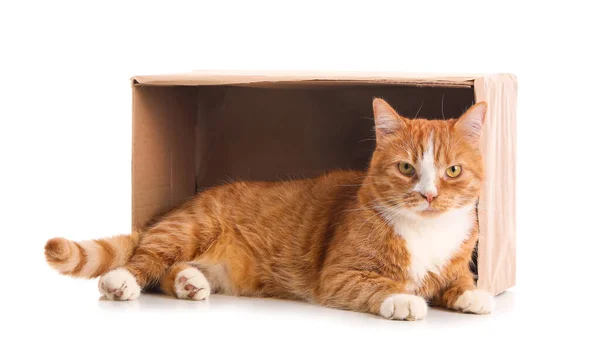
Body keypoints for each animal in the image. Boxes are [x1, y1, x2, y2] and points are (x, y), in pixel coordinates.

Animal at [43, 98, 492, 320]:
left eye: (452, 170)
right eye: (406, 168)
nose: (429, 195)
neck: (426, 231)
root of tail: (173, 210)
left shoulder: (456, 263)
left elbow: (459, 282)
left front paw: (474, 296)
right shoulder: (339, 275)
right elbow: (381, 285)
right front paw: (404, 300)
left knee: (170, 271)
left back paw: (189, 282)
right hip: (187, 230)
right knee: (144, 259)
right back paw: (121, 281)